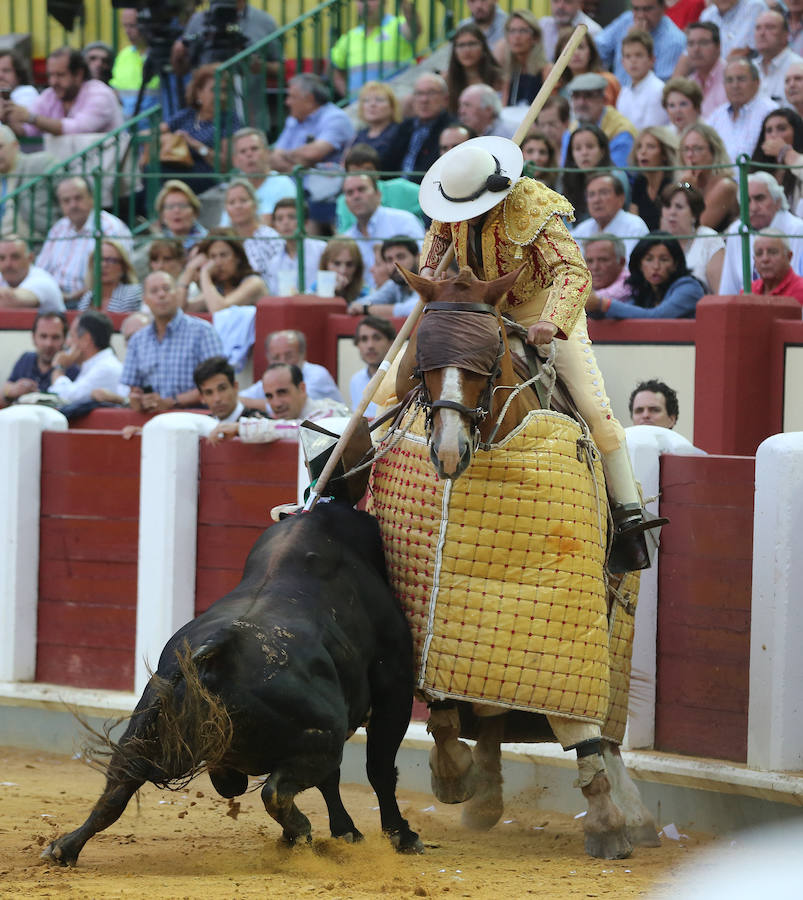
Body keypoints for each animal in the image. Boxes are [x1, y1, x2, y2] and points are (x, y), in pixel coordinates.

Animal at [42, 506, 428, 864]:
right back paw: (300, 832)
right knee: (278, 790)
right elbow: (377, 768)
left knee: (117, 786)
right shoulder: (394, 688)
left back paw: (64, 847)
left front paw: (347, 832)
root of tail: (220, 649)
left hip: (143, 724)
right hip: (324, 735)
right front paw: (398, 835)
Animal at [370, 266, 660, 856]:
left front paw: (607, 822)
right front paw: (453, 773)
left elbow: (577, 725)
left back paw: (635, 814)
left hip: (614, 624)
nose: (449, 452)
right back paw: (482, 793)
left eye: (487, 361)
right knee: (492, 710)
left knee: (606, 728)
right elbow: (442, 702)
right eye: (421, 363)